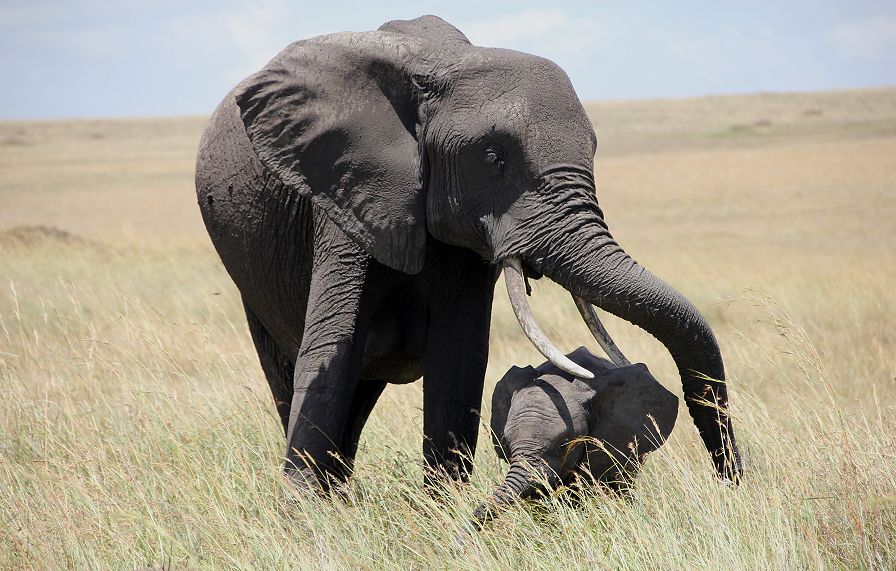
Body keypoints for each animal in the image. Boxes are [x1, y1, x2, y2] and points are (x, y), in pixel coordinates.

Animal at [194, 15, 744, 494]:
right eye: (493, 157)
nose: (732, 480)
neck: (444, 65)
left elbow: (459, 355)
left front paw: (443, 508)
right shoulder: (346, 188)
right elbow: (335, 347)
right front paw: (306, 517)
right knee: (293, 373)